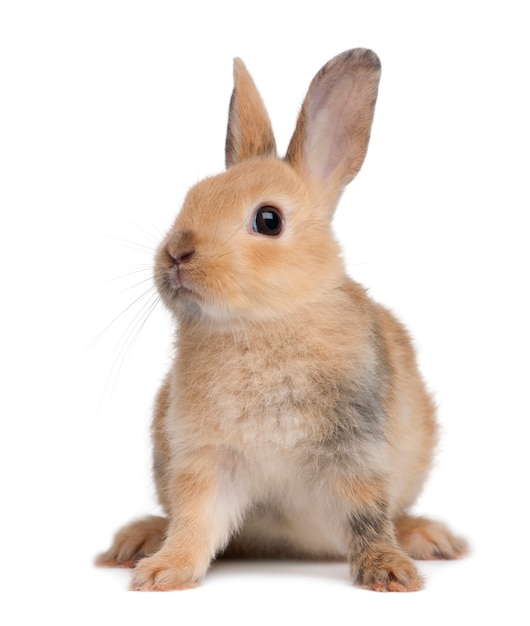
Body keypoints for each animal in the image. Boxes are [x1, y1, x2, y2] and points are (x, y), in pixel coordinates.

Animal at [97, 48, 464, 588]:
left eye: (268, 220)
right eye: (192, 197)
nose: (177, 253)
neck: (260, 324)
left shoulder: (352, 449)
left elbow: (367, 517)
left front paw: (391, 574)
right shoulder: (205, 459)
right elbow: (195, 520)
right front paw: (164, 572)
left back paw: (429, 538)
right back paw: (136, 541)